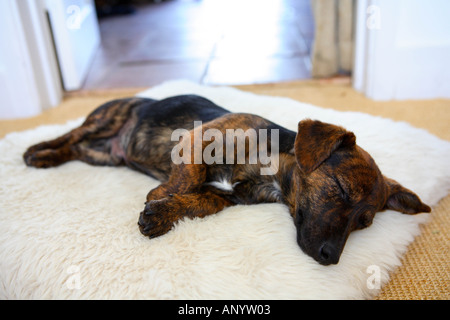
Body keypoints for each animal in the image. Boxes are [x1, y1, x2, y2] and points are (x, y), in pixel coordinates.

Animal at [22, 95, 430, 264]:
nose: (330, 259)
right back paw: (38, 152)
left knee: (75, 149)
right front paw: (160, 194)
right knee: (70, 135)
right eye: (342, 190)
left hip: (102, 156)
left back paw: (50, 158)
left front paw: (162, 213)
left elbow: (196, 200)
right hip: (106, 119)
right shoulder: (195, 139)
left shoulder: (224, 199)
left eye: (364, 223)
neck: (269, 170)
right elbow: (188, 176)